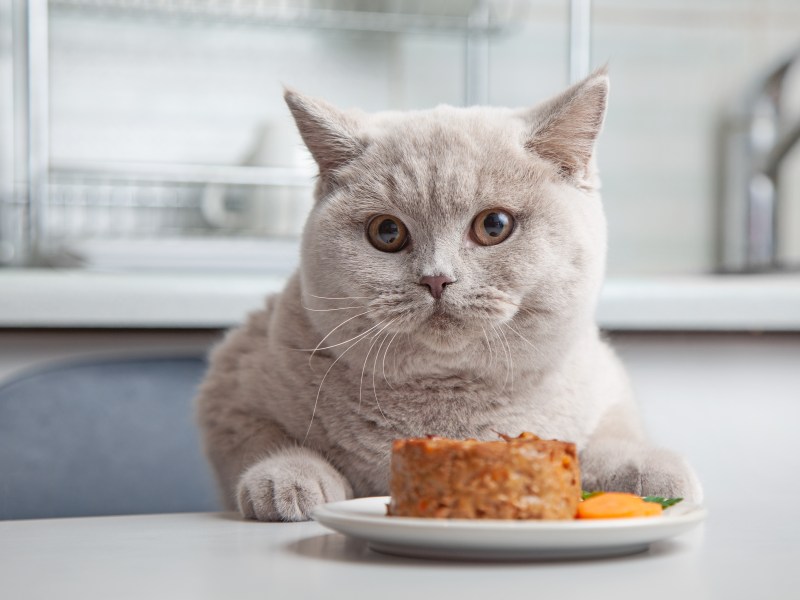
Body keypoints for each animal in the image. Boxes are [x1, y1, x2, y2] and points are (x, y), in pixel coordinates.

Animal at [197, 69, 704, 520]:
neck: (449, 400)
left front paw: (652, 472)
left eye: (494, 225)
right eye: (387, 232)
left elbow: (607, 441)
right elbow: (263, 438)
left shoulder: (608, 390)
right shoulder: (229, 388)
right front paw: (287, 480)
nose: (437, 279)